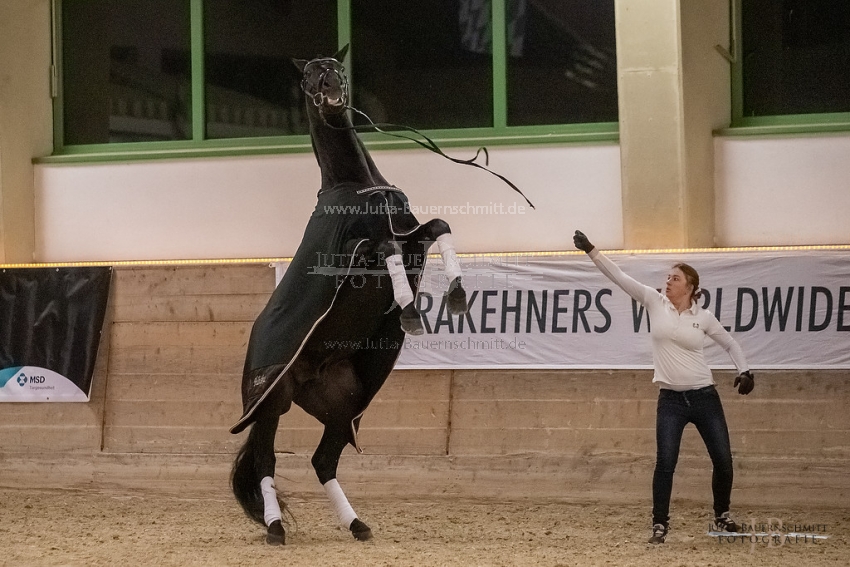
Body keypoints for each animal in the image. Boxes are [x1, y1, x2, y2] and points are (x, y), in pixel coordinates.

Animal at [229, 45, 468, 544]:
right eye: (308, 78)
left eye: (338, 68)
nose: (332, 91)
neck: (356, 186)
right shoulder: (362, 250)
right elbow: (388, 249)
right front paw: (410, 311)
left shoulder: (411, 234)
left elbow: (439, 226)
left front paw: (456, 294)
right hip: (270, 404)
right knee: (265, 461)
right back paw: (275, 528)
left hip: (343, 408)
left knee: (323, 461)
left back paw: (357, 525)